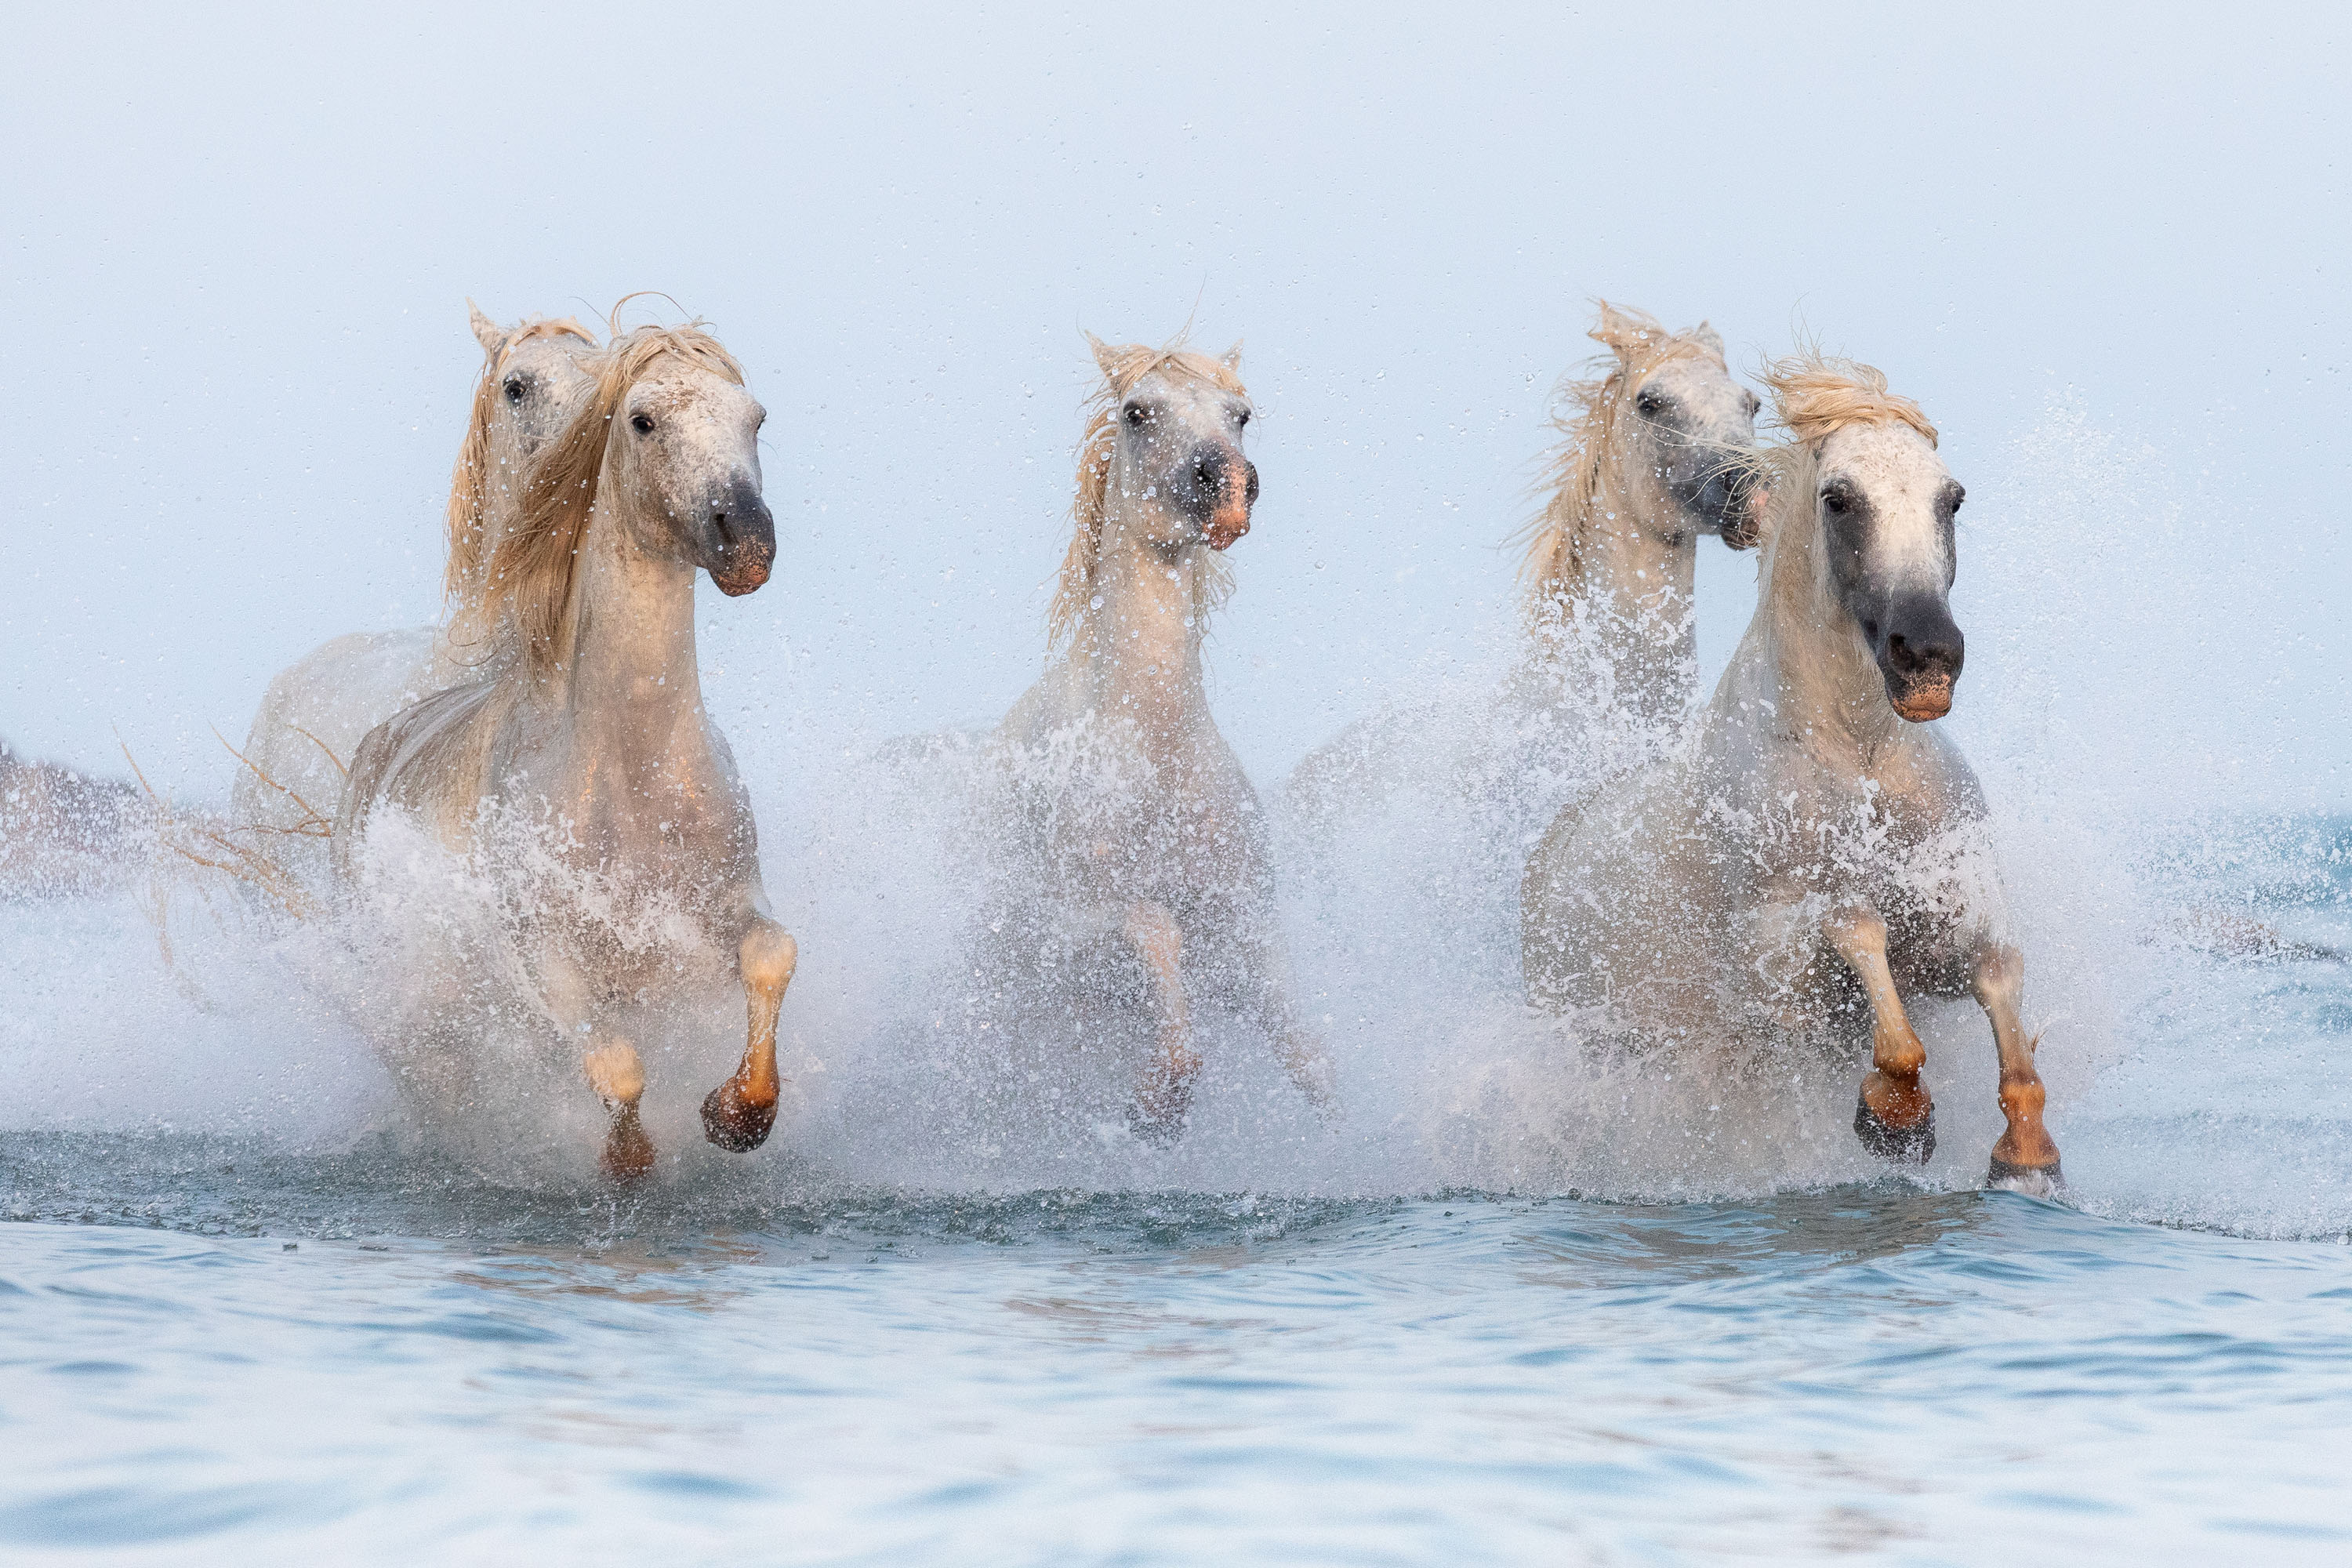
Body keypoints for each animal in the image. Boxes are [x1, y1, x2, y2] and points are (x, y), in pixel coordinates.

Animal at [335, 320, 789, 1181]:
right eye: (642, 421)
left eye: (755, 418)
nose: (746, 539)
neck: (630, 768)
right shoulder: (543, 958)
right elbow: (616, 1065)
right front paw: (629, 1162)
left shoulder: (727, 899)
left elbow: (771, 956)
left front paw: (737, 1113)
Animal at [982, 334, 1334, 1140]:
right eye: (1138, 412)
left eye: (1241, 414)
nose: (1228, 483)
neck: (1155, 750)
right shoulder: (1074, 931)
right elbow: (1154, 930)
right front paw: (1158, 1104)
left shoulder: (1250, 933)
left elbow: (1311, 1062)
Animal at [1521, 351, 2064, 1193]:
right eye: (1839, 499)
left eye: (1952, 498)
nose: (1927, 657)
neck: (1862, 759)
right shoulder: (1776, 968)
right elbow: (1857, 931)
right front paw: (1896, 1118)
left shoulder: (1961, 917)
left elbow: (2002, 986)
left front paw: (2025, 1153)